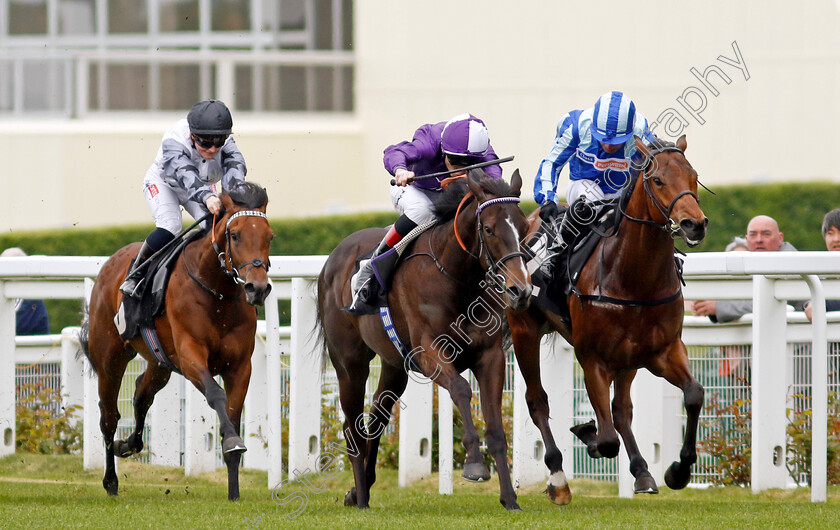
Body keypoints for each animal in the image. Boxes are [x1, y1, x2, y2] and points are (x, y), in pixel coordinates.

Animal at [81, 182, 274, 500]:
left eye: (269, 236)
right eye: (235, 235)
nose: (256, 288)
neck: (217, 293)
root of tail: (111, 263)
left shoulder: (239, 366)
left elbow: (232, 414)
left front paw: (234, 491)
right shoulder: (191, 355)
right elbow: (216, 395)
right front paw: (233, 442)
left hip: (160, 363)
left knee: (141, 395)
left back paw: (128, 445)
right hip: (110, 358)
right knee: (108, 417)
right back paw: (111, 481)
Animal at [318, 169, 536, 508]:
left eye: (524, 228)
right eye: (488, 229)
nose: (520, 290)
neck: (456, 276)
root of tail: (332, 259)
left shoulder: (490, 356)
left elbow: (497, 428)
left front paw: (510, 498)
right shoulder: (429, 352)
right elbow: (460, 389)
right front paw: (475, 465)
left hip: (394, 365)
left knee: (377, 417)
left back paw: (359, 489)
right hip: (349, 363)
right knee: (352, 425)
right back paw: (362, 497)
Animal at [506, 134, 708, 502]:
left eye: (694, 176)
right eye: (658, 180)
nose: (694, 224)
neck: (634, 278)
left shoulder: (663, 351)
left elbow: (694, 394)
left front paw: (678, 470)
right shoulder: (593, 359)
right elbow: (607, 439)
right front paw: (589, 434)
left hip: (628, 359)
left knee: (622, 410)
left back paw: (642, 471)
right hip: (523, 328)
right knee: (537, 401)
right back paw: (558, 478)